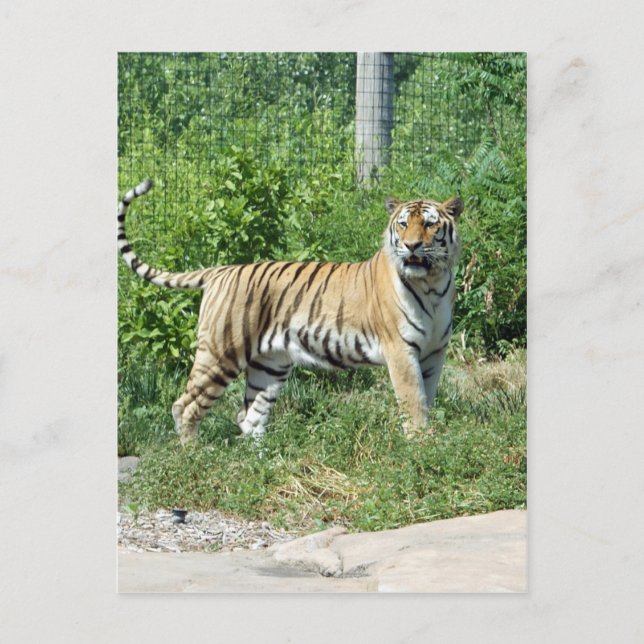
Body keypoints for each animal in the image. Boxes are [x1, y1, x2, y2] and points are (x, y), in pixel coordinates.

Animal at [118, 179, 464, 444]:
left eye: (430, 224)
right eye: (403, 225)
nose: (411, 246)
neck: (432, 285)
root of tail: (220, 270)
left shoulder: (434, 353)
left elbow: (427, 396)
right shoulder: (400, 351)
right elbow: (413, 400)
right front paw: (420, 444)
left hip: (269, 365)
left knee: (249, 415)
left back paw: (264, 460)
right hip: (221, 353)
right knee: (185, 406)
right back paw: (195, 453)